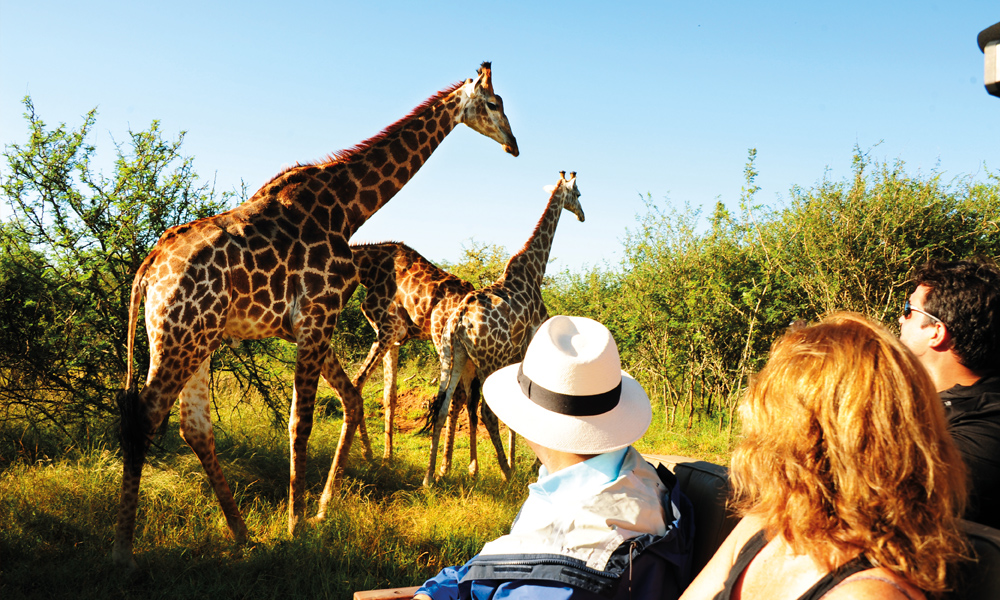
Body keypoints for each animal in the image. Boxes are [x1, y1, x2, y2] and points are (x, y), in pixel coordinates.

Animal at [348, 241, 496, 472]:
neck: (368, 270)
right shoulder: (394, 338)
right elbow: (389, 395)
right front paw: (387, 456)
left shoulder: (388, 329)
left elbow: (358, 381)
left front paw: (368, 454)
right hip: (468, 353)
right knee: (470, 398)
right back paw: (469, 467)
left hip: (441, 339)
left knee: (456, 396)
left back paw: (444, 467)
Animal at [424, 171, 584, 486]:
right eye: (579, 194)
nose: (583, 215)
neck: (534, 271)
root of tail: (458, 321)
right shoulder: (529, 347)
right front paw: (527, 464)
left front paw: (518, 460)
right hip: (487, 361)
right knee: (486, 412)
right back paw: (505, 474)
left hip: (452, 358)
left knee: (442, 407)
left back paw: (430, 478)